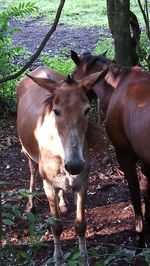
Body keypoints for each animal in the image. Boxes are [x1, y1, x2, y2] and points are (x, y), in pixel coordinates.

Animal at [16, 66, 108, 264]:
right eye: (56, 111)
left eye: (87, 109)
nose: (74, 165)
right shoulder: (48, 184)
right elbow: (56, 225)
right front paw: (57, 259)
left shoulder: (83, 181)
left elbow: (81, 225)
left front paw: (84, 259)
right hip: (28, 152)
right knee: (32, 171)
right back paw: (31, 204)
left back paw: (64, 203)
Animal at [71, 50, 150, 247]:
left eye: (73, 77)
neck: (119, 85)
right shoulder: (144, 160)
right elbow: (146, 190)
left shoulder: (125, 155)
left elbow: (135, 192)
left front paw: (139, 233)